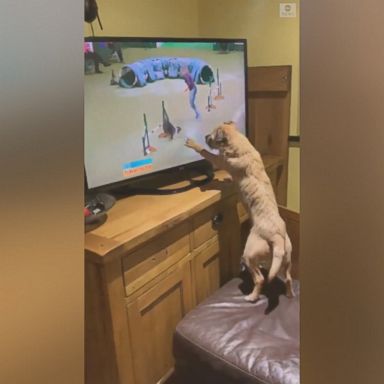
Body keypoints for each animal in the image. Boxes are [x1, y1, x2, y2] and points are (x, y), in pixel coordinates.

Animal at [185, 121, 294, 302]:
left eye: (212, 136)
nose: (205, 136)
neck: (239, 143)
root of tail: (277, 237)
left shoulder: (220, 160)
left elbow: (206, 153)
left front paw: (194, 144)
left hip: (249, 255)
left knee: (260, 279)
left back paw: (252, 297)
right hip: (286, 259)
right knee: (288, 278)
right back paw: (289, 294)